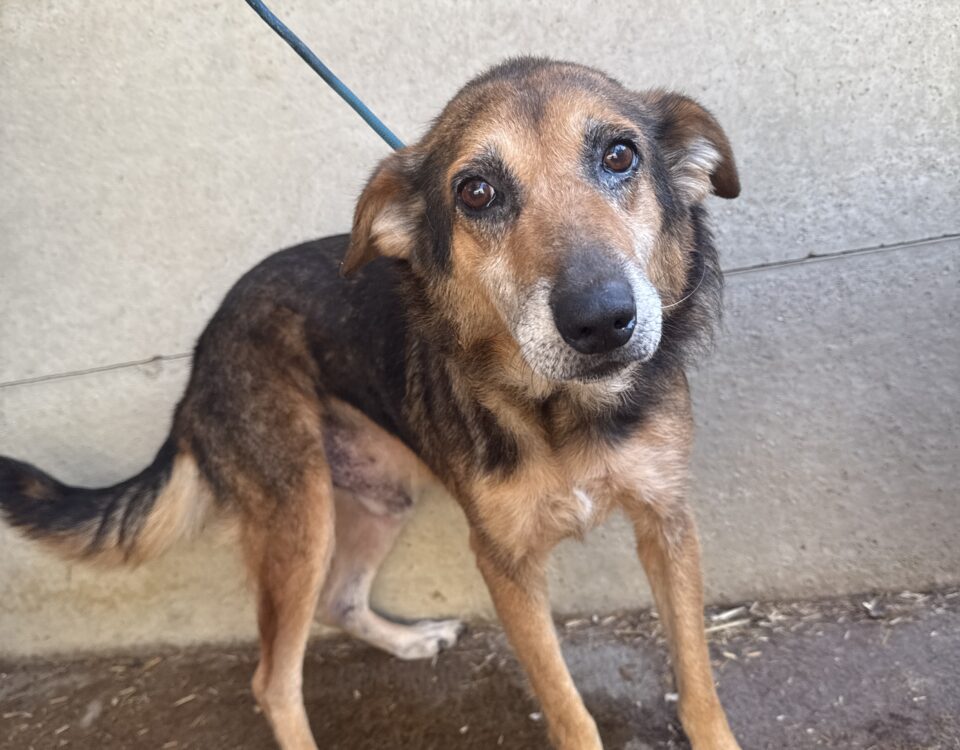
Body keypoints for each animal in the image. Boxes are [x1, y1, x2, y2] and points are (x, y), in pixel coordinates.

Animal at [1, 57, 742, 749]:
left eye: (620, 156)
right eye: (476, 193)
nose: (600, 320)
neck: (566, 410)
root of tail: (202, 353)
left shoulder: (668, 523)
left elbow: (696, 673)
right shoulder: (503, 562)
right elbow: (565, 705)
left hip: (382, 497)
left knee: (341, 600)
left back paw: (407, 640)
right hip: (299, 518)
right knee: (272, 678)